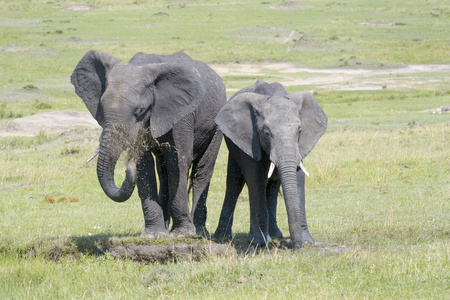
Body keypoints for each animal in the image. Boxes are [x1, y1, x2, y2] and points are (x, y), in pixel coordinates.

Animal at [71, 50, 227, 239]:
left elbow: (178, 161)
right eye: (101, 108)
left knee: (202, 169)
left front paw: (181, 234)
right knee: (163, 171)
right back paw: (167, 228)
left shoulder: (181, 115)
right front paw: (153, 235)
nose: (127, 166)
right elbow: (145, 165)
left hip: (216, 123)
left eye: (139, 111)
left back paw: (199, 232)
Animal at [213, 79, 326, 248]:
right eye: (266, 133)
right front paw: (259, 242)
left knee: (272, 188)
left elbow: (298, 178)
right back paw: (222, 237)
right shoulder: (250, 138)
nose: (294, 245)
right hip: (233, 147)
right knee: (234, 184)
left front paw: (307, 241)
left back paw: (276, 234)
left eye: (300, 131)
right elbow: (255, 179)